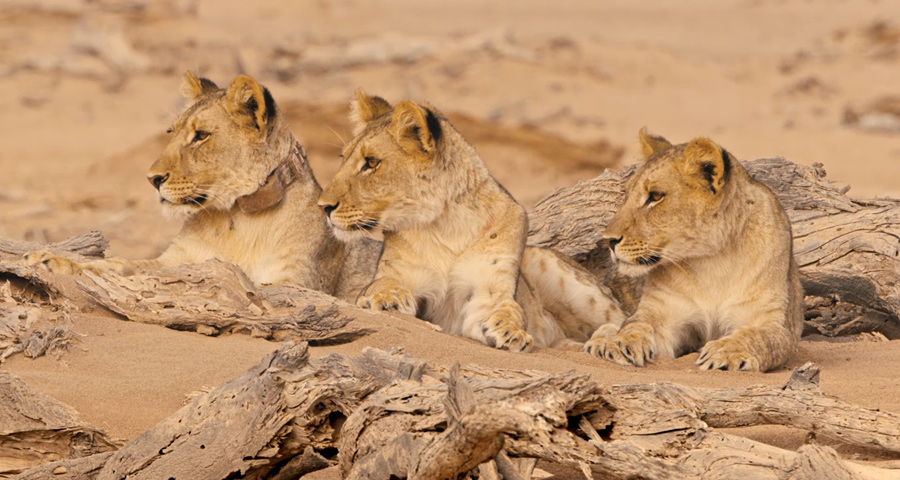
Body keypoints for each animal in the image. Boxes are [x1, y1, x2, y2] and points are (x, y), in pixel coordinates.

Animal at [26, 72, 378, 300]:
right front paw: (51, 261)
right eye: (172, 132)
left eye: (201, 136)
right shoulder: (177, 258)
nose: (152, 178)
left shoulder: (296, 281)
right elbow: (128, 266)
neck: (236, 216)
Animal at [316, 90, 625, 351]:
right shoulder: (403, 274)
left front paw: (511, 331)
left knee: (623, 319)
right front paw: (386, 300)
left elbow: (508, 309)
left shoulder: (488, 289)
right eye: (343, 157)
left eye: (371, 162)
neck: (449, 223)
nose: (324, 206)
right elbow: (382, 283)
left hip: (560, 274)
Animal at [584, 129, 804, 371]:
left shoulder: (776, 322)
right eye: (626, 195)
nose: (608, 241)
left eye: (655, 196)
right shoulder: (663, 311)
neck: (713, 260)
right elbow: (637, 323)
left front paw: (727, 352)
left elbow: (759, 337)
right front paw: (621, 342)